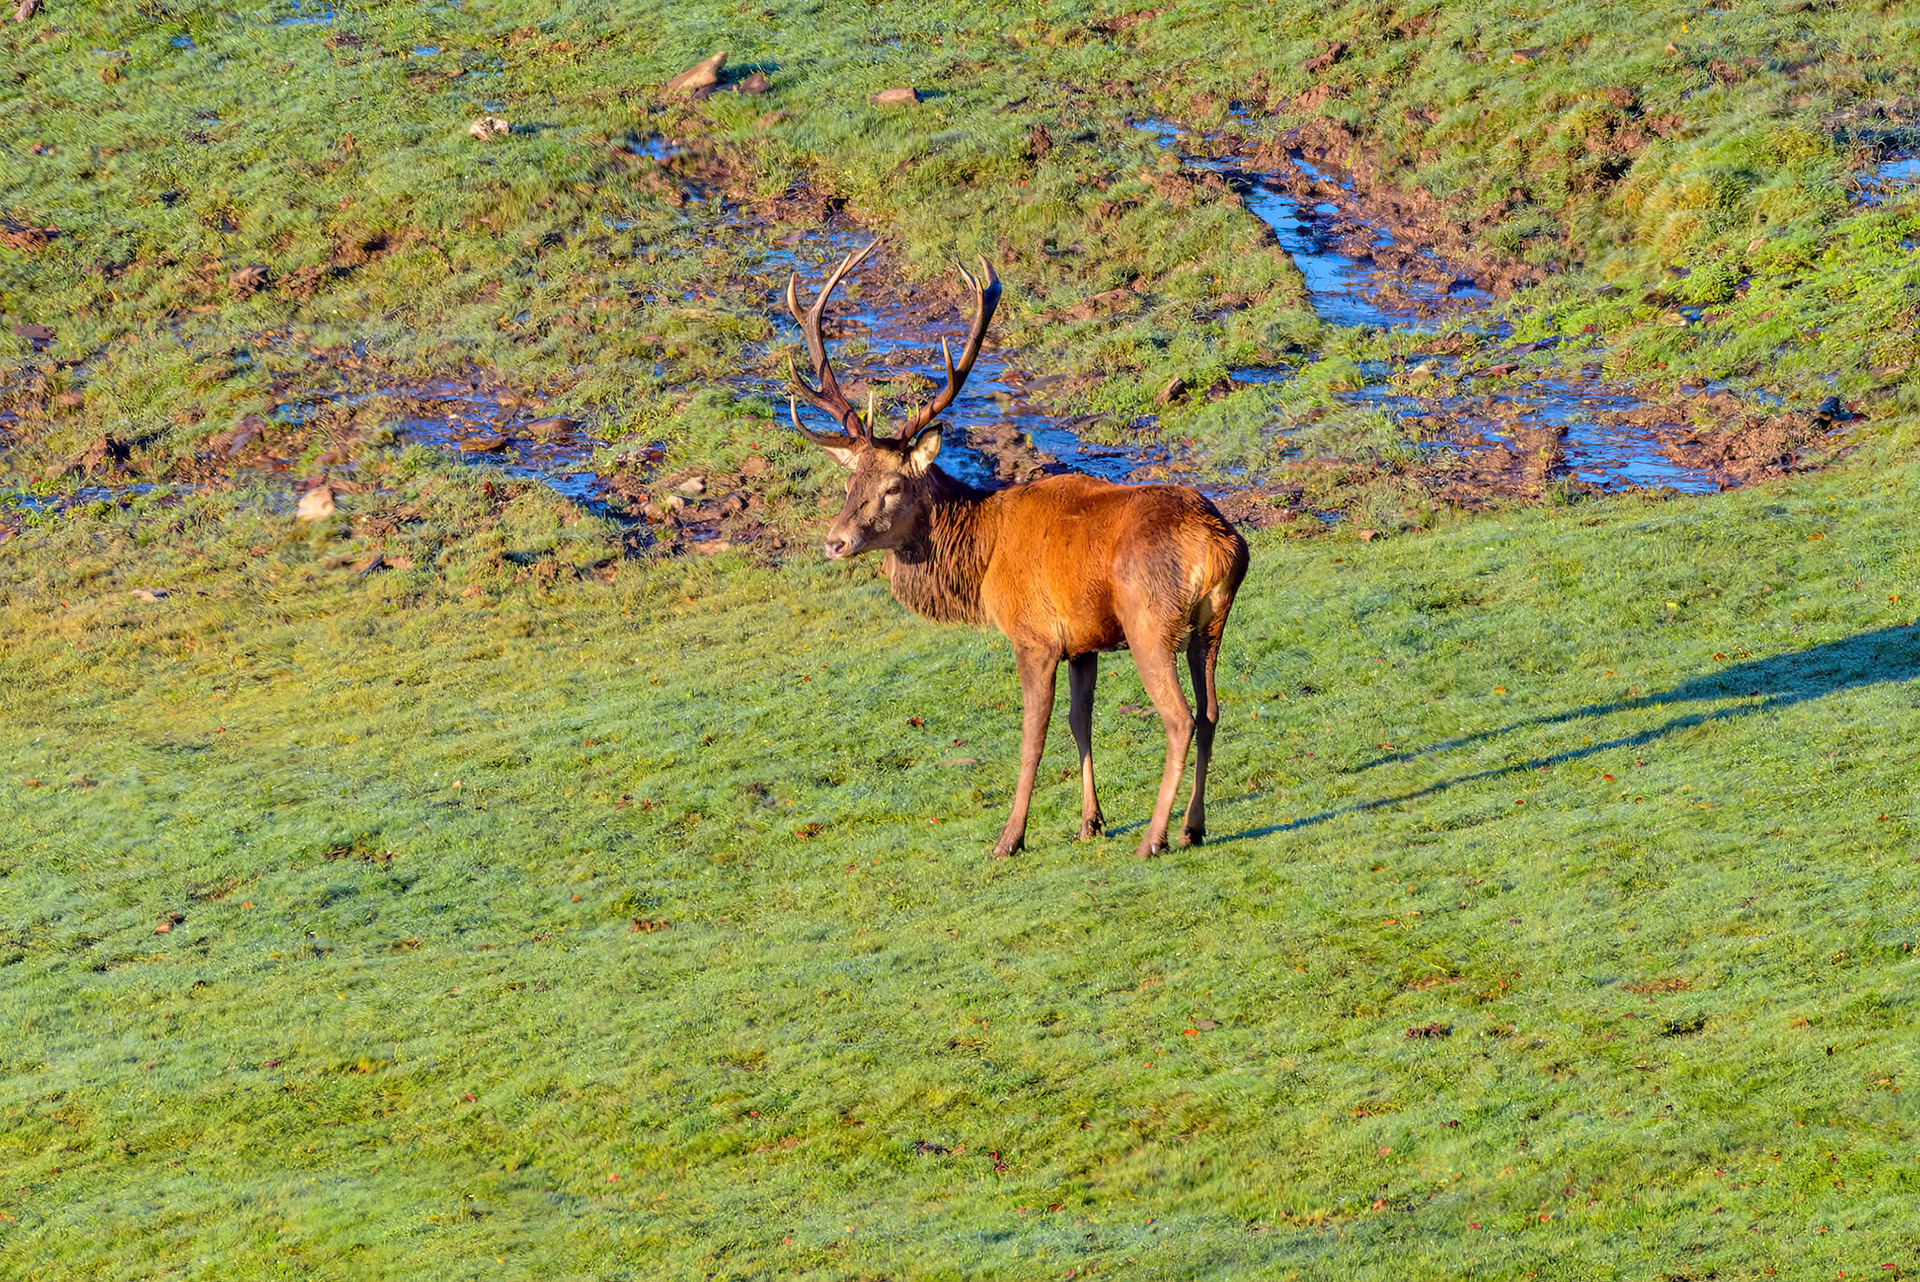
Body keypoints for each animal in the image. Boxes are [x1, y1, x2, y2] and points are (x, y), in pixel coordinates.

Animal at [782, 241, 1250, 859]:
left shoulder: (1035, 636)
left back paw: (1154, 838)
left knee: (1181, 718)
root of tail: (1218, 543)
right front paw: (1089, 822)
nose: (835, 542)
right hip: (1210, 622)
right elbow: (1080, 721)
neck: (981, 559)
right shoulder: (1083, 641)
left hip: (1149, 620)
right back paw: (1194, 827)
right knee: (1213, 710)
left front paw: (1010, 838)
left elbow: (1034, 736)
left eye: (893, 486)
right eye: (849, 483)